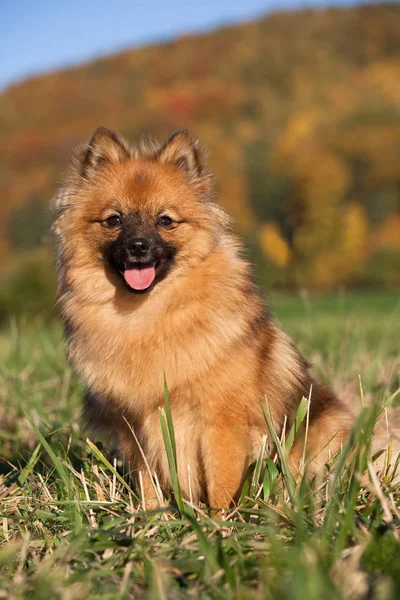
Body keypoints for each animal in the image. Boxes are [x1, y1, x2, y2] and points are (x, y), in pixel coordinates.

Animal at [51, 126, 354, 506]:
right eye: (114, 220)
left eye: (165, 221)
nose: (138, 246)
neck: (149, 316)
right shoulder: (135, 430)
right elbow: (148, 482)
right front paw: (151, 515)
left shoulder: (221, 426)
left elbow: (222, 484)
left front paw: (220, 520)